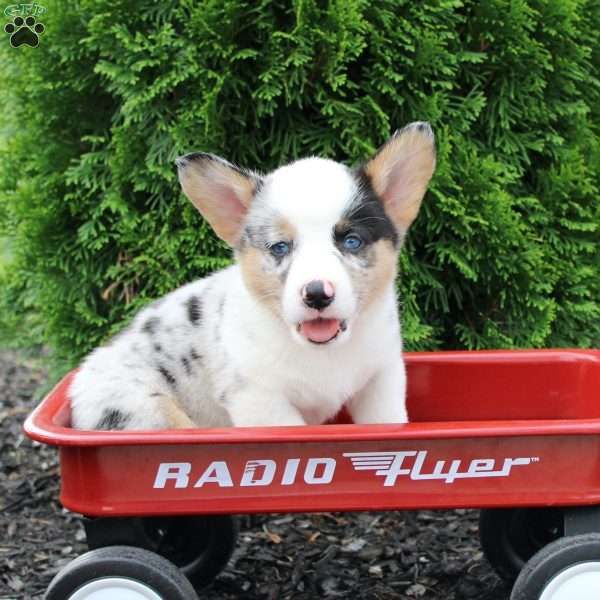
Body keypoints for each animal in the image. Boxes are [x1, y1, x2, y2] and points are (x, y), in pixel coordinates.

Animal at [70, 123, 436, 432]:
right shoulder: (260, 399)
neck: (323, 354)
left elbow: (387, 421)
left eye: (352, 241)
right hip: (146, 410)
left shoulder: (381, 377)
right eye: (279, 247)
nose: (317, 294)